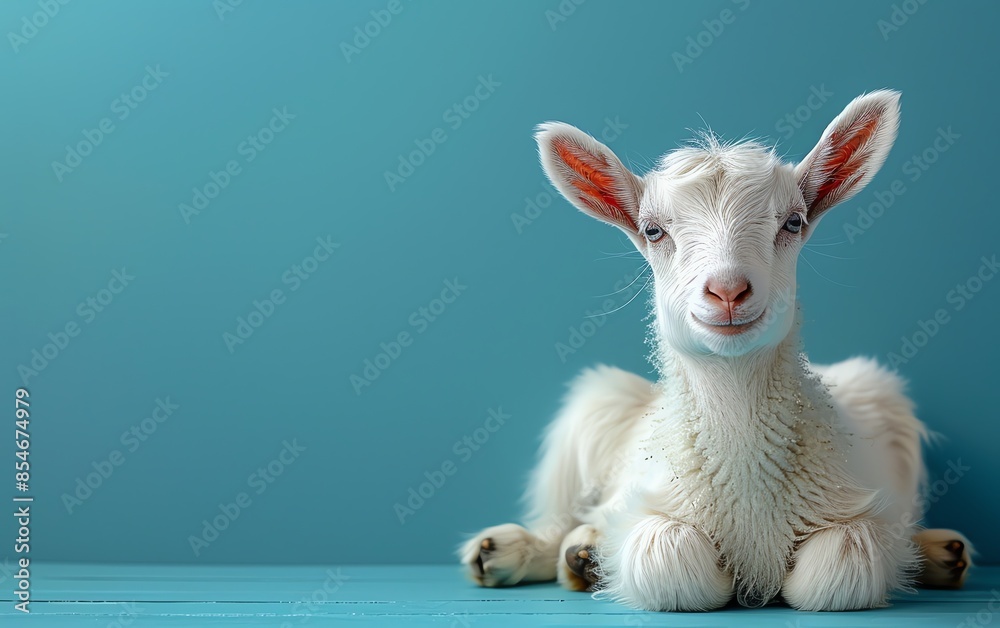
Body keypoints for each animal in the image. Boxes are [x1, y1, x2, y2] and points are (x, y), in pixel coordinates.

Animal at [459, 90, 972, 611]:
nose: (728, 290)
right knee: (556, 521)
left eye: (793, 222)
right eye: (652, 231)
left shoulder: (855, 516)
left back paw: (942, 553)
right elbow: (669, 559)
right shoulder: (655, 510)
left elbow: (840, 570)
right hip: (590, 413)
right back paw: (523, 551)